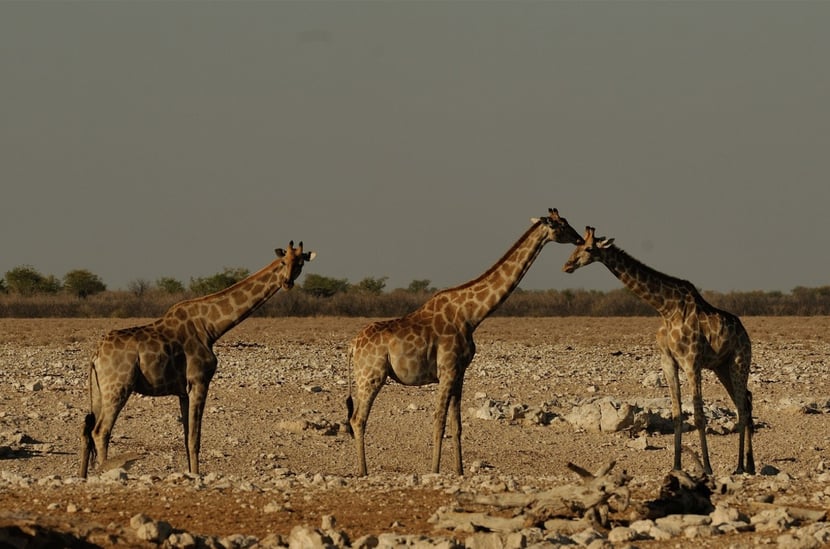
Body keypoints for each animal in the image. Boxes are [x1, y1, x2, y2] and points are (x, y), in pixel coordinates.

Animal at [80, 241, 315, 478]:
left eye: (300, 263)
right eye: (283, 261)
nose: (287, 282)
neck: (210, 327)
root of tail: (95, 355)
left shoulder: (183, 391)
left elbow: (186, 438)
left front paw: (191, 472)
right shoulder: (199, 381)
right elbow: (195, 438)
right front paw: (196, 475)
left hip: (99, 390)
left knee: (88, 429)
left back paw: (84, 475)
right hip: (118, 387)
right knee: (101, 431)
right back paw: (106, 472)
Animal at [346, 208, 583, 476]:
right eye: (561, 225)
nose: (580, 239)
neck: (472, 315)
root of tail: (352, 346)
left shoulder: (459, 372)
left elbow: (456, 424)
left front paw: (459, 471)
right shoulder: (447, 369)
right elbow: (438, 421)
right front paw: (435, 470)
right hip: (371, 375)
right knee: (358, 419)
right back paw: (363, 471)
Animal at [562, 226, 755, 475]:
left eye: (587, 248)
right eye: (575, 245)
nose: (567, 265)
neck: (666, 308)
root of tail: (745, 333)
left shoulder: (691, 361)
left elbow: (699, 416)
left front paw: (707, 468)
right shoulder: (668, 361)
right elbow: (676, 414)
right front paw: (676, 466)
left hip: (739, 360)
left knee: (742, 406)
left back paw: (740, 467)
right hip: (721, 367)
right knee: (745, 402)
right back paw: (749, 465)